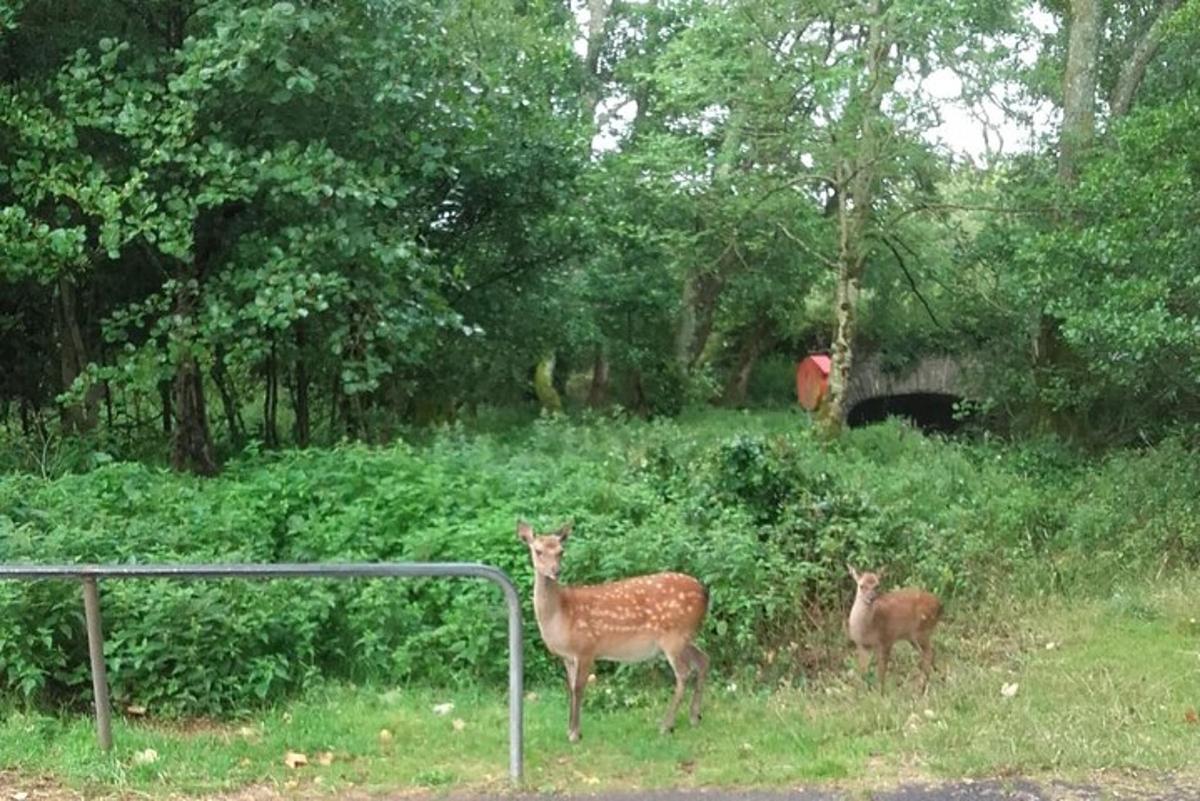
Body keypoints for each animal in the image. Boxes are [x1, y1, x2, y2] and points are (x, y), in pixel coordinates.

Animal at [518, 522, 710, 743]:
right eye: (538, 551)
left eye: (561, 551)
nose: (556, 571)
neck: (561, 614)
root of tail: (705, 593)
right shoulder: (567, 656)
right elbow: (571, 689)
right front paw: (571, 730)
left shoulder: (586, 648)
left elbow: (579, 688)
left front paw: (575, 733)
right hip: (685, 637)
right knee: (703, 660)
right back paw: (694, 717)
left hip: (674, 636)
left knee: (684, 673)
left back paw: (666, 725)